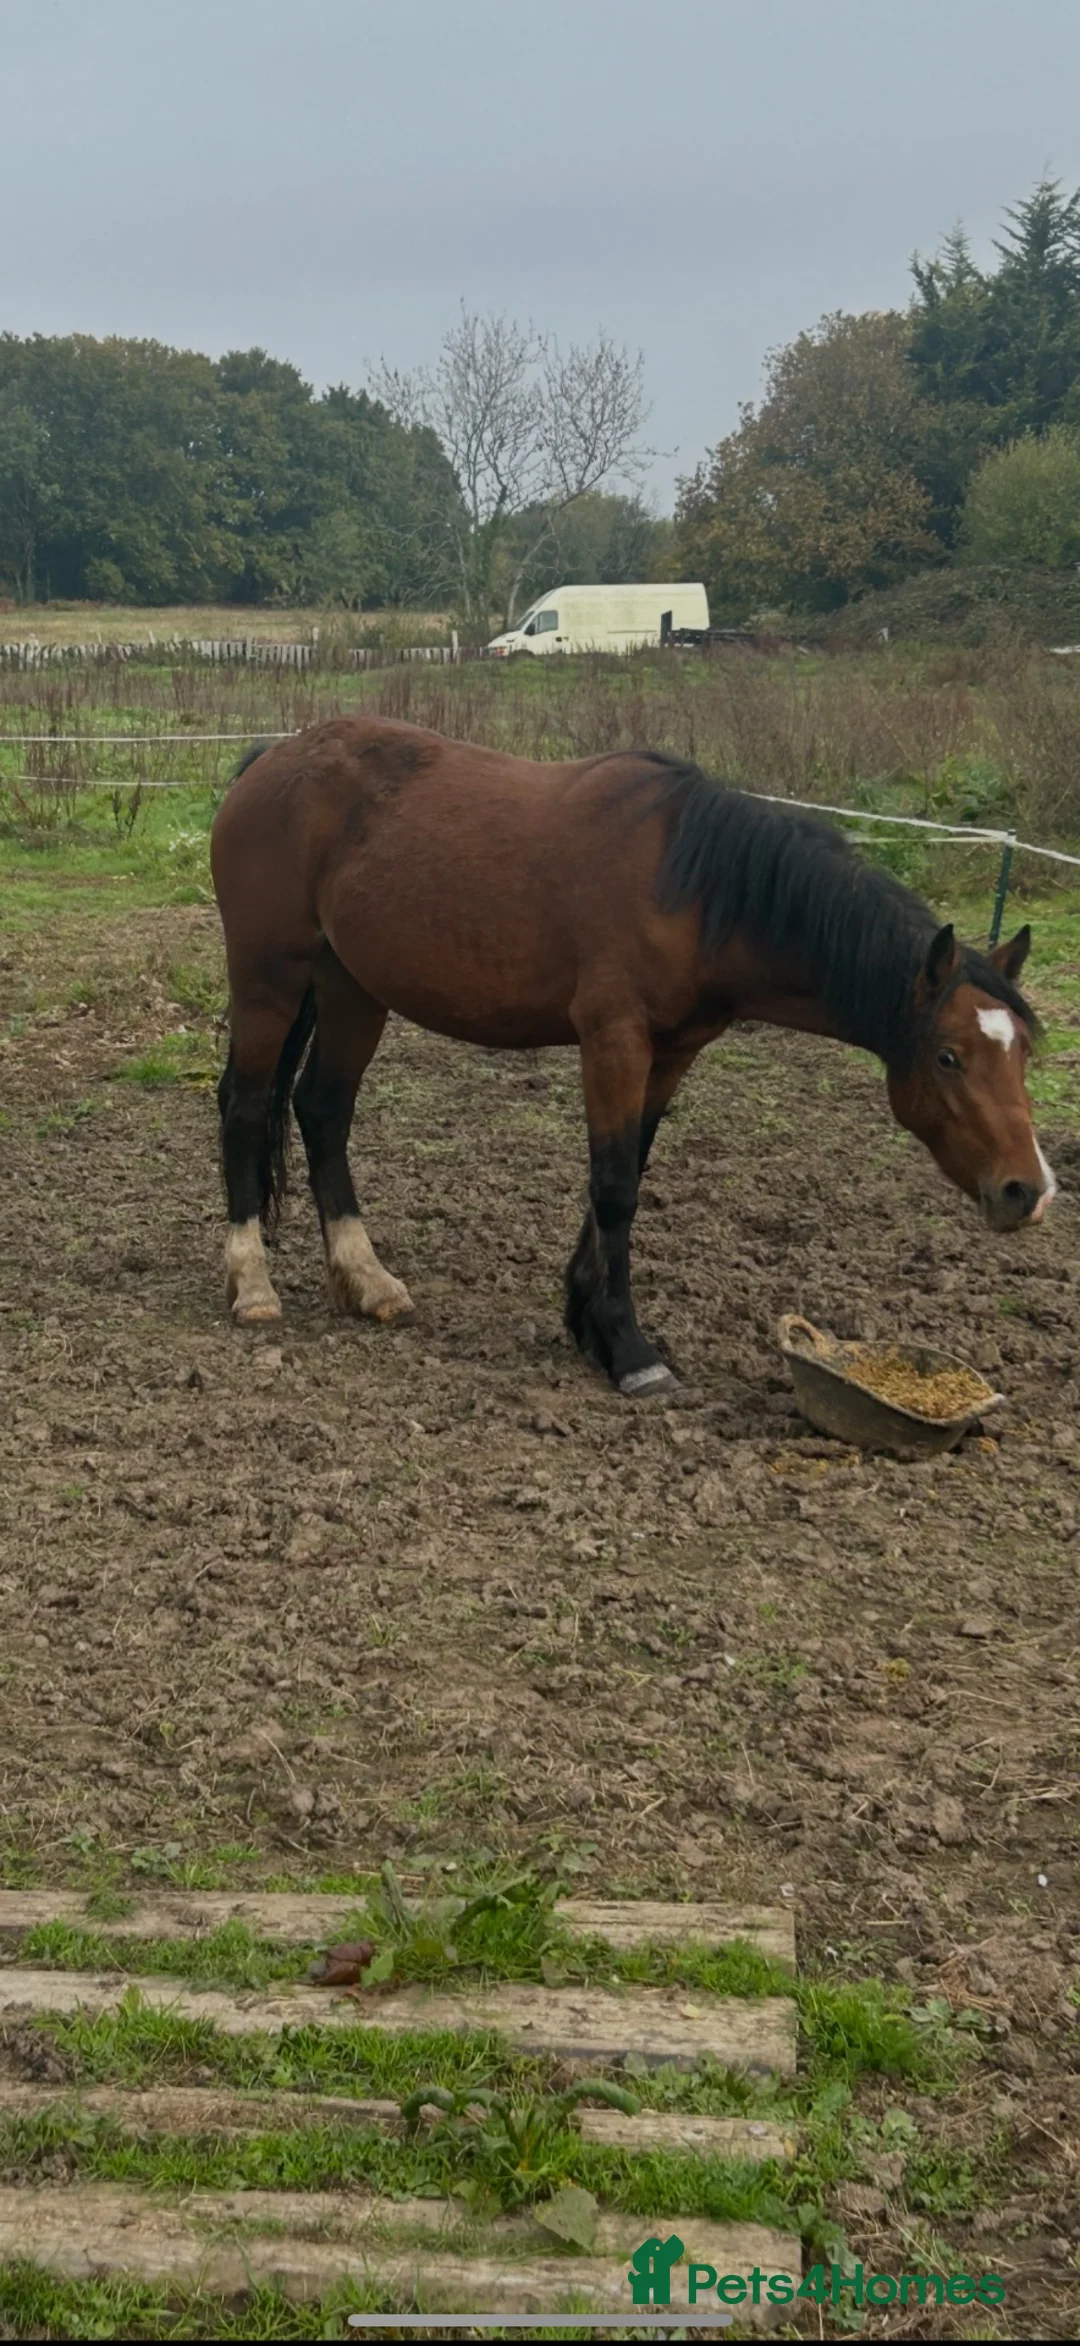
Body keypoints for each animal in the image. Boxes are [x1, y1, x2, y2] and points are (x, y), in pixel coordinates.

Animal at [210, 715, 1054, 1398]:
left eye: (1021, 1055)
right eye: (948, 1057)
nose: (1029, 1191)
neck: (695, 891)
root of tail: (270, 759)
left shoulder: (671, 1054)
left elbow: (628, 1177)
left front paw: (587, 1318)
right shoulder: (613, 1039)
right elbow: (614, 1188)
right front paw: (628, 1348)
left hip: (353, 988)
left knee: (323, 1110)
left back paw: (367, 1280)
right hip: (269, 979)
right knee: (246, 1106)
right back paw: (252, 1285)